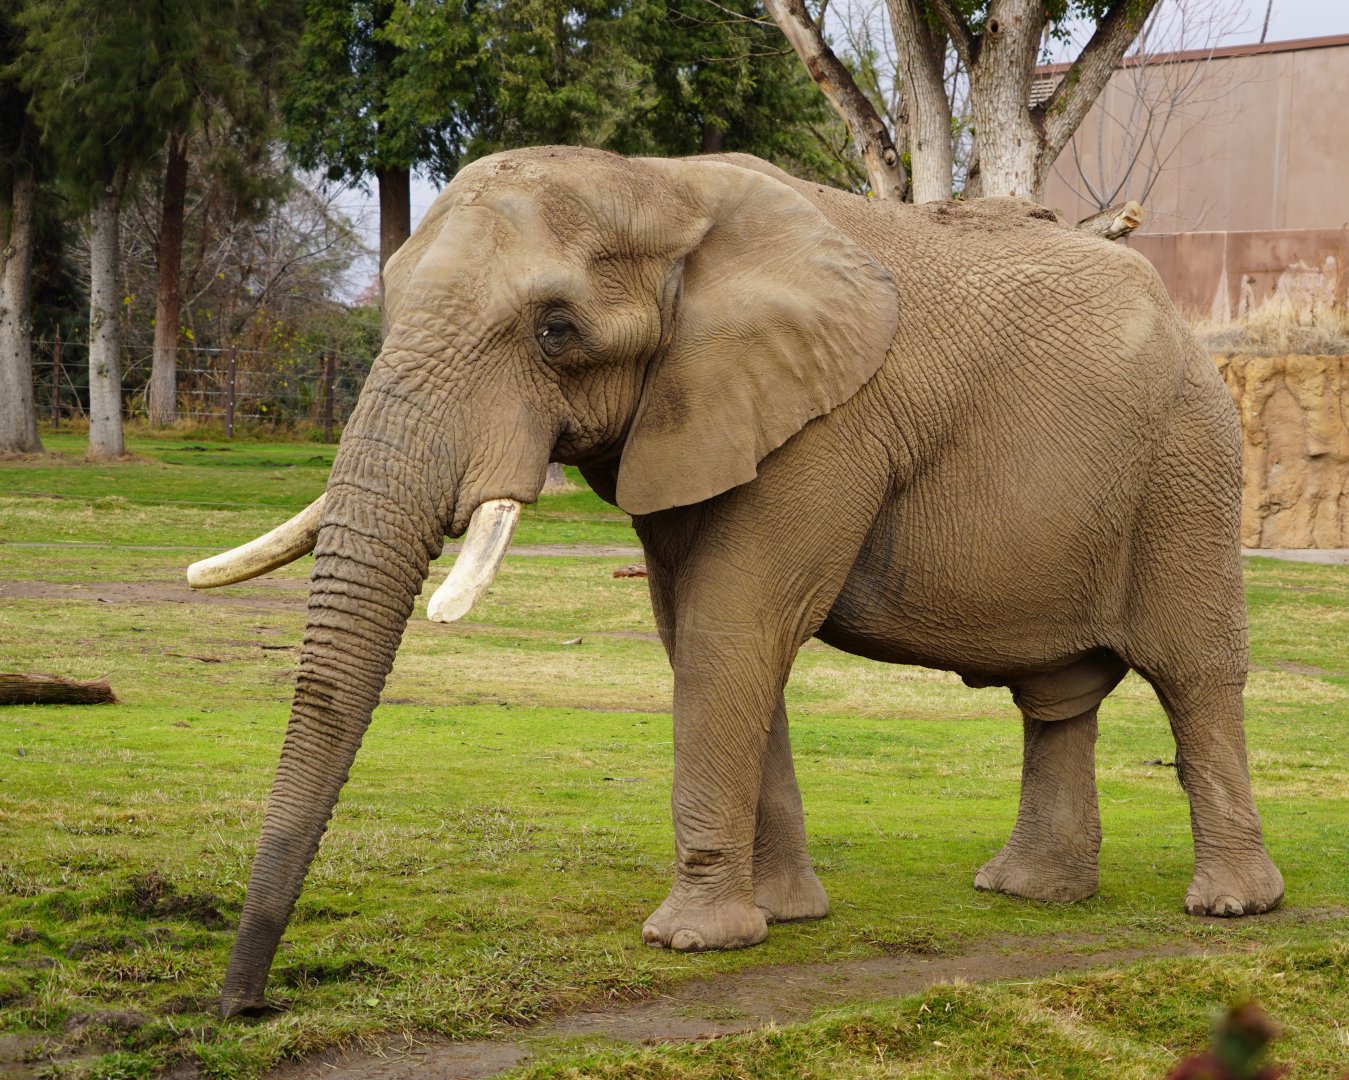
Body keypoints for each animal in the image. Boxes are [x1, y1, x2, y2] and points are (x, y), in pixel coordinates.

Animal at [189, 146, 1284, 1017]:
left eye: (555, 329)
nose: (249, 1006)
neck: (659, 186)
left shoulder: (827, 424)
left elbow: (734, 628)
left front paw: (688, 940)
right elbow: (701, 635)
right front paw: (783, 916)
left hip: (1187, 467)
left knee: (1193, 673)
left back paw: (1232, 905)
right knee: (1056, 699)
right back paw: (1024, 894)